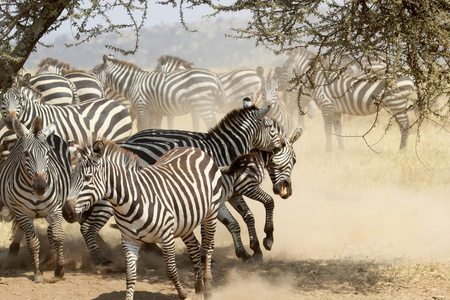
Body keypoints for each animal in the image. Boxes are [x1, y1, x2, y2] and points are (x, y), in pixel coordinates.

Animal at [0, 116, 71, 282]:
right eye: (26, 154)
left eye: (48, 153)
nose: (41, 187)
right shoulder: (22, 212)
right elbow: (32, 242)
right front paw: (38, 272)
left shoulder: (55, 209)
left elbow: (58, 236)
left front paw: (60, 269)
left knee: (51, 231)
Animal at [62, 141, 251, 300]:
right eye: (71, 177)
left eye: (87, 178)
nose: (66, 212)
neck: (130, 201)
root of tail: (195, 149)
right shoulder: (128, 240)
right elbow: (130, 275)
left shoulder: (166, 237)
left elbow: (171, 271)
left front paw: (183, 294)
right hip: (185, 222)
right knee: (194, 247)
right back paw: (198, 287)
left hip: (211, 212)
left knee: (209, 247)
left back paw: (208, 288)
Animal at [90, 54, 225, 131]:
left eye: (95, 70)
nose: (88, 77)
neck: (133, 83)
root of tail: (215, 77)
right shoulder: (152, 111)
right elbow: (151, 128)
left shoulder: (142, 107)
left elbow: (145, 128)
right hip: (207, 105)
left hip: (201, 104)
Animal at [282, 48, 414, 151]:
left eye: (285, 67)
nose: (284, 88)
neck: (319, 79)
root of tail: (408, 74)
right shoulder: (336, 110)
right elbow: (338, 130)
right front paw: (341, 149)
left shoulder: (327, 106)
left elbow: (327, 129)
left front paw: (328, 150)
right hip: (398, 104)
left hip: (396, 102)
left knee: (405, 124)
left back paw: (402, 149)